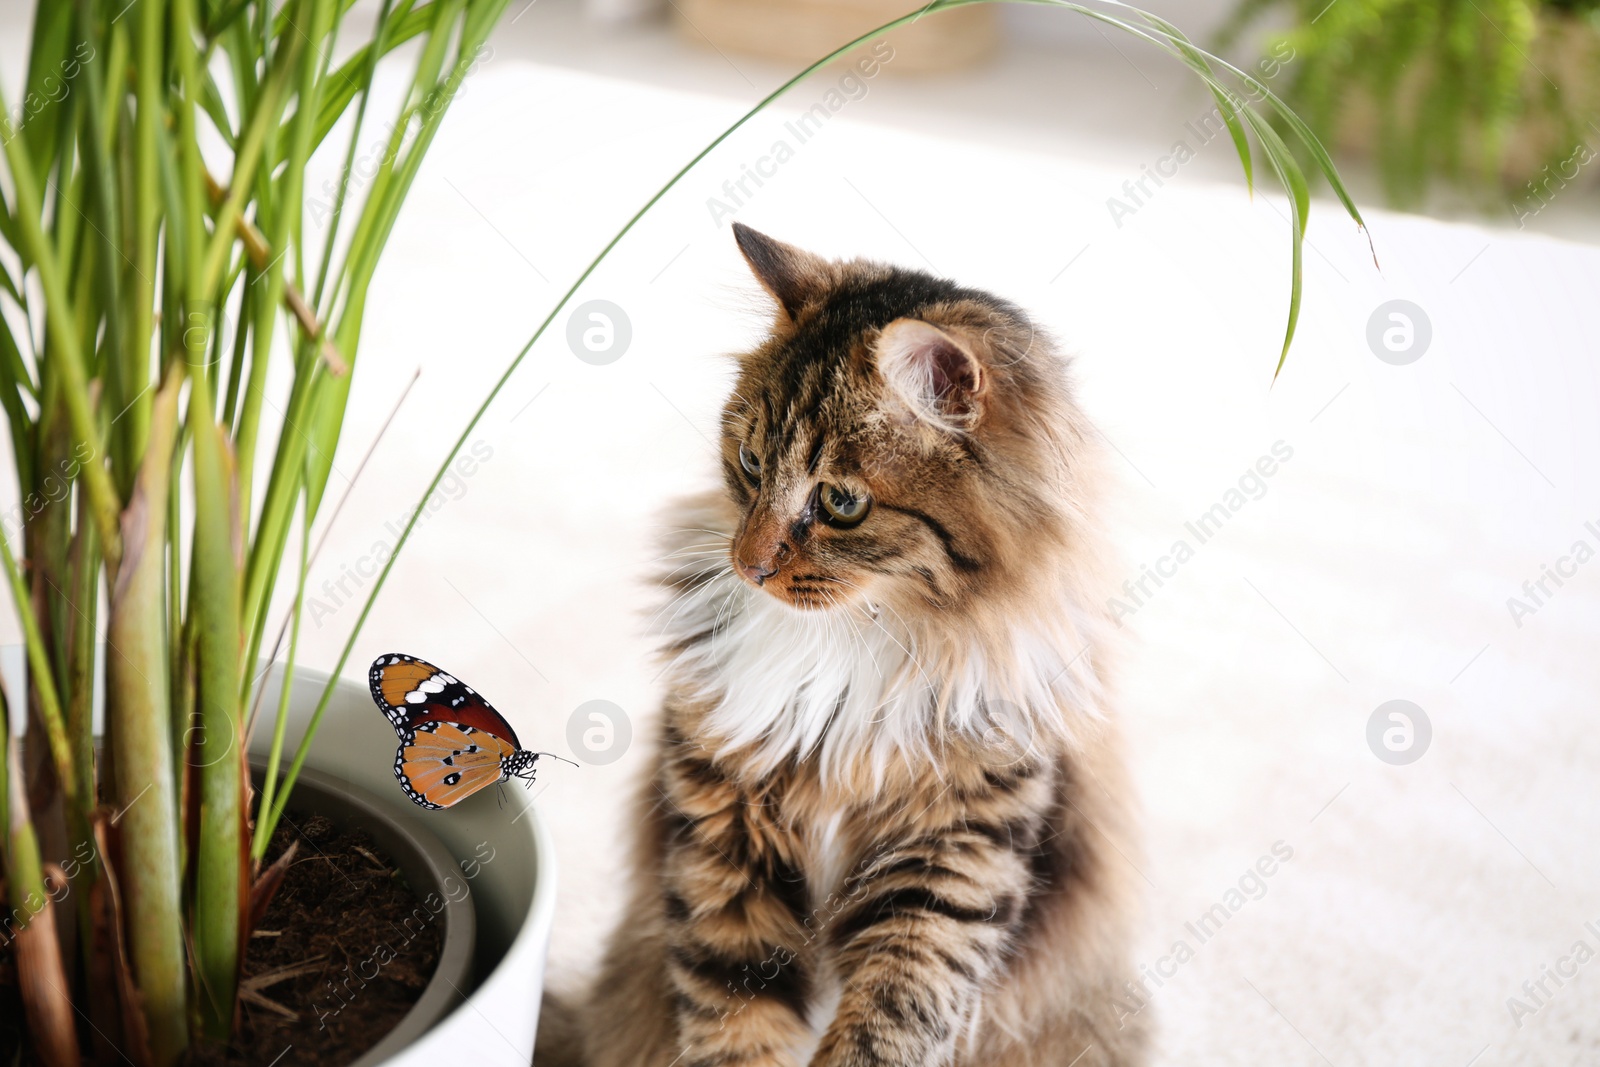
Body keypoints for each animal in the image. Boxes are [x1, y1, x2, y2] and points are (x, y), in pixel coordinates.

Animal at [544, 225, 1145, 1067]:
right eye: (751, 463)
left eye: (841, 502)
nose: (749, 564)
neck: (850, 647)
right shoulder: (725, 841)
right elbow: (733, 1022)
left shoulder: (951, 864)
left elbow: (887, 1023)